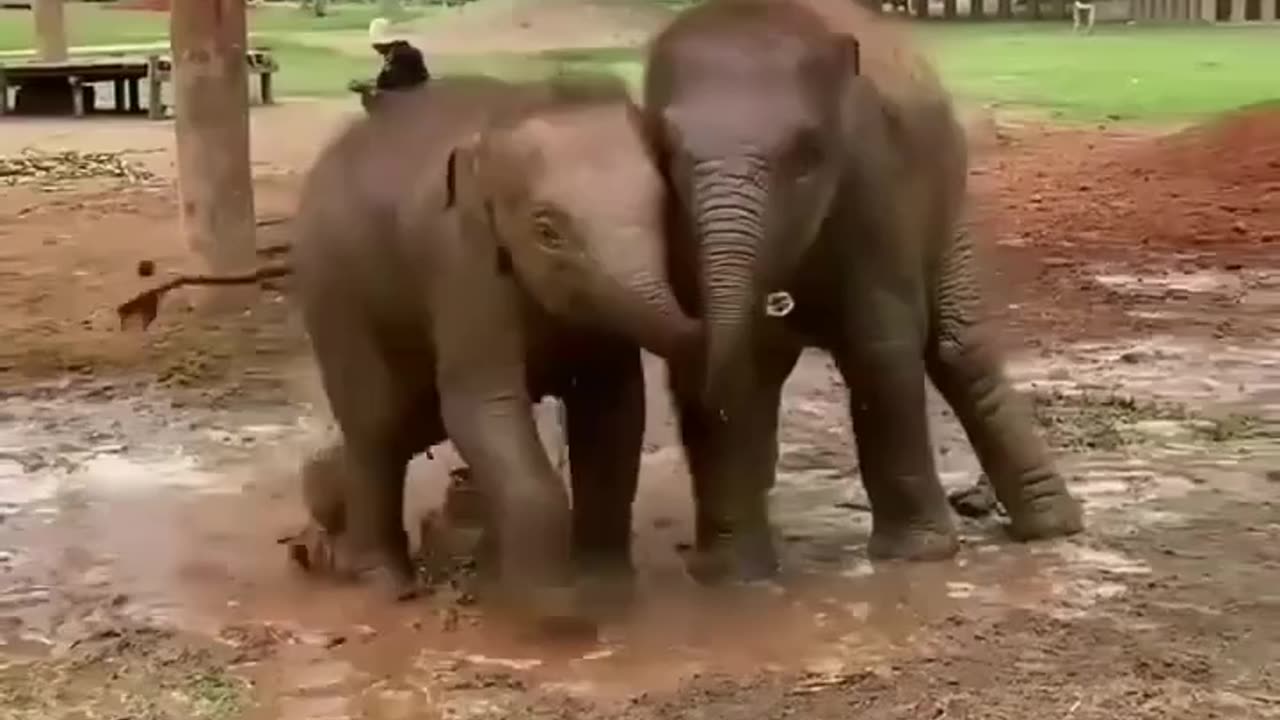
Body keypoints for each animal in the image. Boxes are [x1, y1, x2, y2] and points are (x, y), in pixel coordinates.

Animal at [291, 73, 701, 617]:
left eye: (664, 208)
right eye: (546, 230)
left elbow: (613, 408)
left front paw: (608, 590)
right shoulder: (462, 260)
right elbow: (483, 405)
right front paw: (556, 611)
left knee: (412, 419)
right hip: (332, 288)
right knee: (377, 420)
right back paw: (380, 579)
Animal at [645, 0, 1085, 576]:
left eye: (807, 154)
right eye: (665, 148)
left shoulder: (877, 184)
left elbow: (880, 345)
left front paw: (917, 555)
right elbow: (727, 362)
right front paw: (732, 573)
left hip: (948, 206)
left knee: (960, 352)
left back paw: (1052, 528)